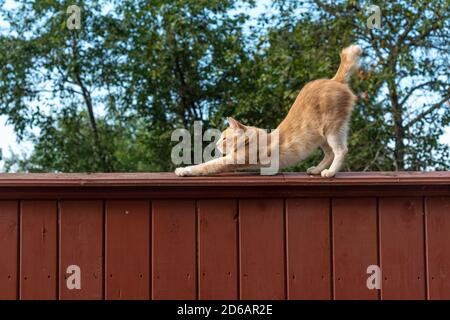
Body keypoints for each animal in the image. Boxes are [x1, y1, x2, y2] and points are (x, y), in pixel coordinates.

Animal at [176, 44, 362, 178]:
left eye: (224, 138)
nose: (216, 144)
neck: (254, 138)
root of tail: (334, 80)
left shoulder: (233, 160)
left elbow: (206, 166)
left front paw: (183, 170)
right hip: (321, 136)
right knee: (329, 153)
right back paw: (316, 170)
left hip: (332, 130)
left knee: (341, 151)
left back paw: (329, 173)